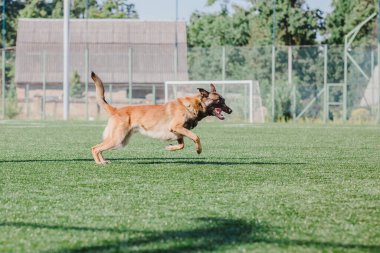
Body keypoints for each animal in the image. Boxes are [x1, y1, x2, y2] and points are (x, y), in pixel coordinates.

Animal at [90, 71, 232, 164]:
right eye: (219, 101)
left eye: (224, 100)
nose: (230, 110)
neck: (193, 105)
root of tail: (116, 109)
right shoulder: (177, 127)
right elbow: (196, 137)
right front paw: (198, 150)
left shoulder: (178, 133)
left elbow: (181, 145)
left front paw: (170, 148)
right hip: (117, 139)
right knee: (95, 148)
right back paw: (99, 163)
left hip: (120, 140)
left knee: (99, 148)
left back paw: (103, 161)